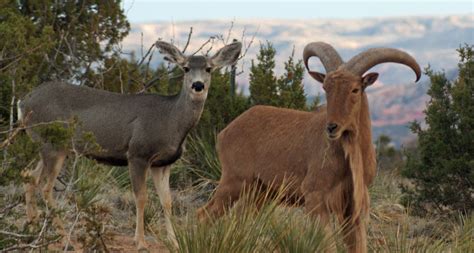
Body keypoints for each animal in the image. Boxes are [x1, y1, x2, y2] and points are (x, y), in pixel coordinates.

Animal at [18, 40, 241, 250]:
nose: (198, 85)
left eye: (209, 68)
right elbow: (141, 197)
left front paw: (174, 242)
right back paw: (65, 239)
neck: (170, 120)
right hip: (53, 144)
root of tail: (24, 101)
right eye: (186, 68)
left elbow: (167, 201)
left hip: (46, 145)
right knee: (46, 187)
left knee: (29, 176)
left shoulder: (163, 163)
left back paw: (33, 228)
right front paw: (140, 242)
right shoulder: (137, 154)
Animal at [198, 42, 420, 252]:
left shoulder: (354, 208)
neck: (350, 155)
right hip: (233, 182)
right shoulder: (316, 197)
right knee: (205, 214)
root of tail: (225, 131)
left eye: (355, 89)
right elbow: (328, 246)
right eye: (326, 88)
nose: (332, 127)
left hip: (259, 192)